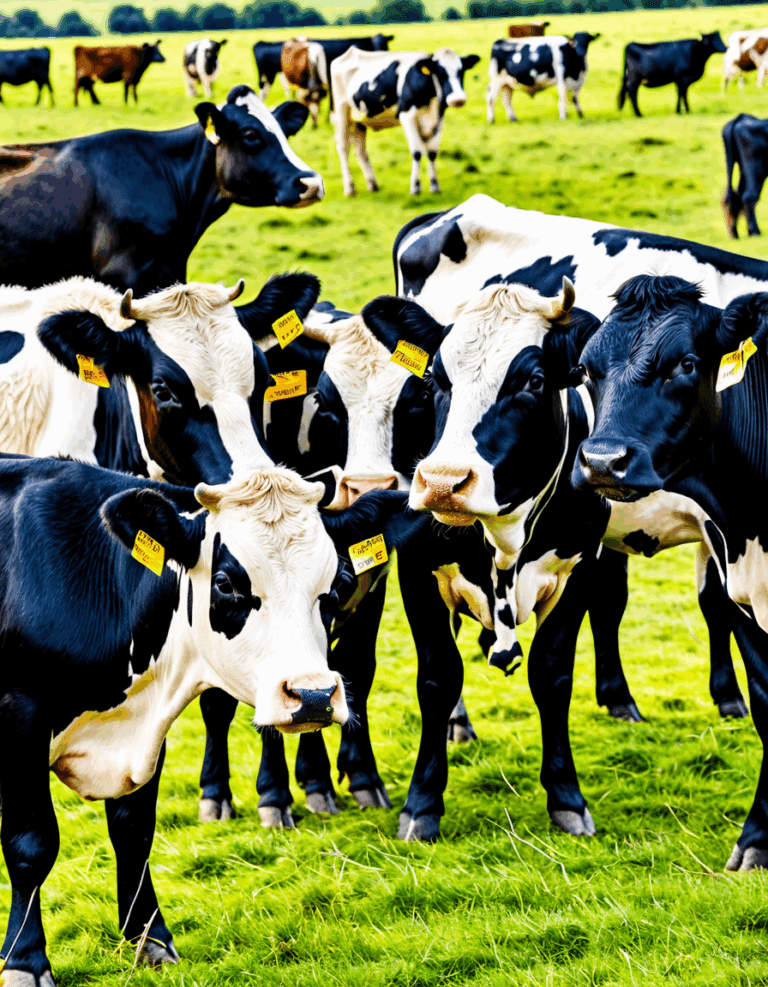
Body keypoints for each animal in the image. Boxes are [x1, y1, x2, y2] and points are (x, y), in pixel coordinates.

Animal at [0, 455, 354, 984]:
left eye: (334, 586)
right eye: (226, 584)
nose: (313, 694)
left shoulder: (149, 734)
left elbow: (134, 830)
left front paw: (149, 936)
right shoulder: (19, 717)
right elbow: (31, 844)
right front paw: (25, 959)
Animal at [331, 47, 480, 197]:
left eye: (461, 71)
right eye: (440, 73)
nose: (458, 99)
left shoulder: (439, 117)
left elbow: (432, 153)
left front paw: (435, 186)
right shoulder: (406, 115)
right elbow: (417, 152)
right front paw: (415, 187)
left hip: (359, 119)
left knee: (360, 149)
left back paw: (372, 184)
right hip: (341, 109)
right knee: (343, 147)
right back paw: (350, 188)